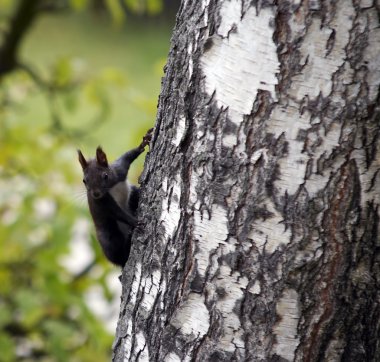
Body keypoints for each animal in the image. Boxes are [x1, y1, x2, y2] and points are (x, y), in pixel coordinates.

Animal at [77, 129, 153, 268]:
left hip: (133, 194)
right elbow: (117, 213)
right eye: (84, 181)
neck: (111, 187)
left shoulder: (119, 171)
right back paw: (127, 243)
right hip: (109, 236)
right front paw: (135, 222)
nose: (95, 194)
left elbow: (126, 157)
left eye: (105, 176)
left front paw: (143, 143)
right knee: (120, 254)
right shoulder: (103, 203)